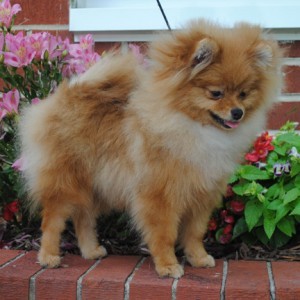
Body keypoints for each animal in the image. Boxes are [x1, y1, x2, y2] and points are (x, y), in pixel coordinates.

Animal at [19, 19, 282, 278]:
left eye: (243, 94)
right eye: (216, 93)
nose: (238, 112)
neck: (194, 127)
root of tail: (68, 93)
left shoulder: (202, 194)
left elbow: (194, 233)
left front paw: (198, 258)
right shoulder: (160, 196)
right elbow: (165, 234)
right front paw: (167, 266)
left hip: (95, 185)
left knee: (83, 217)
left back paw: (91, 250)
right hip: (65, 181)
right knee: (52, 220)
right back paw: (48, 256)